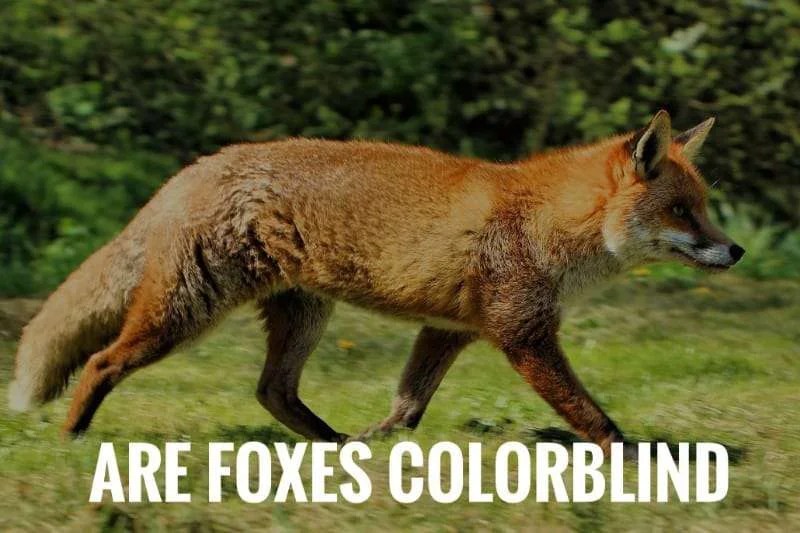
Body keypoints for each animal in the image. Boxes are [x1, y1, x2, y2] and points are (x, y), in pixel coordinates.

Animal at [8, 110, 743, 451]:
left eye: (704, 206)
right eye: (682, 211)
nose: (734, 250)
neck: (545, 220)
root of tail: (196, 167)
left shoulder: (448, 332)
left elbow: (408, 406)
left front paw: (380, 442)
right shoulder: (523, 333)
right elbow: (593, 416)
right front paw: (638, 461)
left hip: (303, 315)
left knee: (273, 391)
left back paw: (334, 446)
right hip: (188, 312)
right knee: (102, 361)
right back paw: (72, 439)